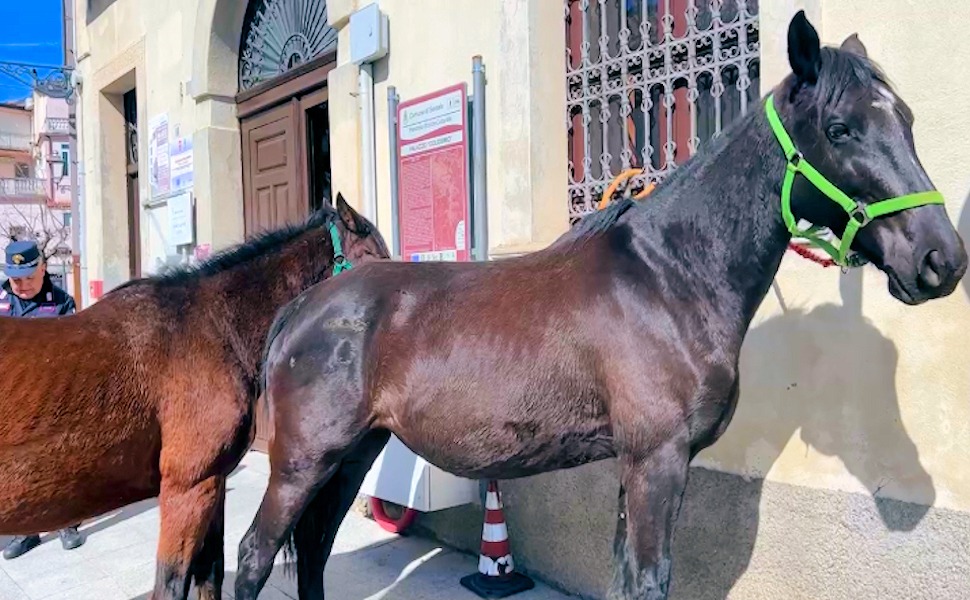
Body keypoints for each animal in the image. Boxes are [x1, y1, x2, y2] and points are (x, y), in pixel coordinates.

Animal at [0, 194, 389, 600]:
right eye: (374, 257)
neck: (212, 328)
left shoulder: (213, 482)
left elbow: (210, 571)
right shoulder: (187, 488)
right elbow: (172, 584)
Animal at [234, 13, 967, 600]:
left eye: (905, 119)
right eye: (839, 129)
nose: (942, 259)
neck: (669, 276)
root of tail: (303, 308)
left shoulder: (633, 465)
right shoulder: (656, 460)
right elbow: (649, 579)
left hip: (350, 456)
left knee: (314, 553)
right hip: (303, 462)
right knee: (254, 555)